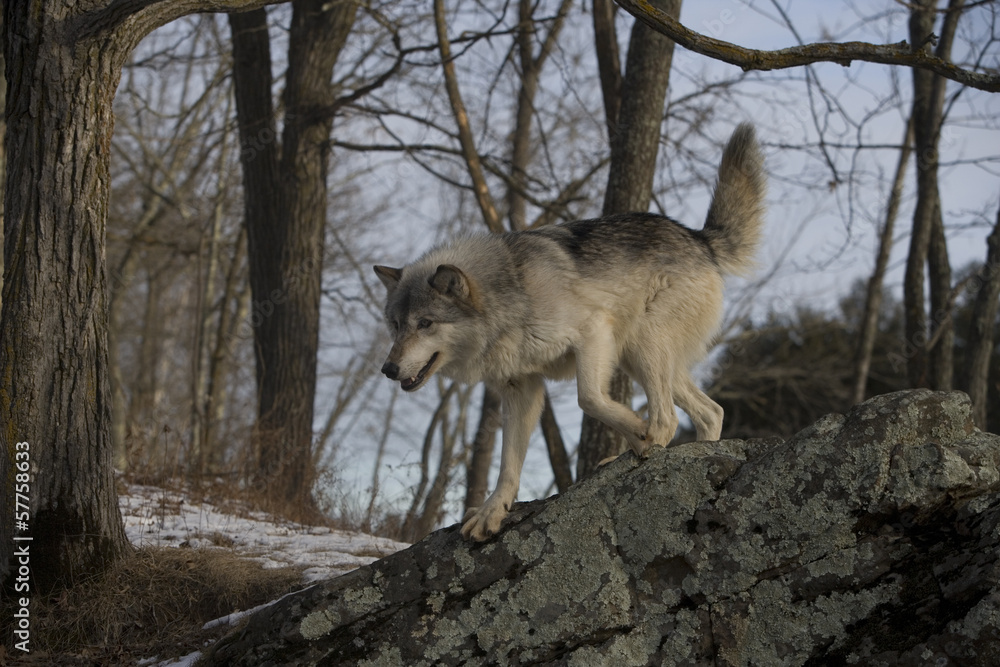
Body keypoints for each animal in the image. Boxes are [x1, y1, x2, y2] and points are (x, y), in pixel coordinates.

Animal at [374, 123, 765, 541]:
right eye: (395, 326)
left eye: (425, 324)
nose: (388, 369)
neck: (511, 294)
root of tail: (699, 237)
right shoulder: (521, 388)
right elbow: (508, 462)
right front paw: (493, 511)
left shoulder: (592, 333)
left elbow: (589, 399)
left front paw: (636, 431)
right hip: (638, 359)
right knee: (710, 412)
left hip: (643, 346)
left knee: (667, 418)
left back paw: (641, 445)